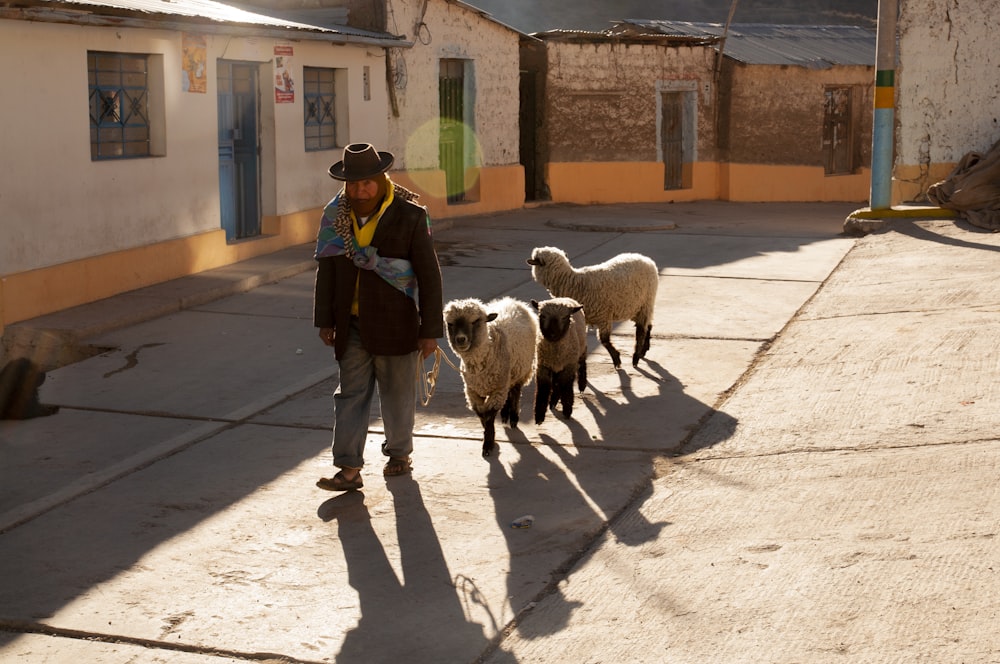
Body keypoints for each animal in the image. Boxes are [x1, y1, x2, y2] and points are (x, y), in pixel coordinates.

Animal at [446, 296, 540, 456]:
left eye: (475, 321)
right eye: (450, 324)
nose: (460, 339)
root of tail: (513, 301)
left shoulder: (497, 389)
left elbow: (489, 416)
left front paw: (488, 445)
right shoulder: (472, 391)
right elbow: (482, 415)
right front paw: (489, 436)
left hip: (521, 369)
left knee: (515, 392)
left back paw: (513, 417)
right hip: (507, 377)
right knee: (509, 393)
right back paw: (505, 415)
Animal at [528, 246, 660, 368]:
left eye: (536, 259)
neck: (573, 282)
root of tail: (646, 259)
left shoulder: (603, 316)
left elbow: (604, 340)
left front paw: (616, 359)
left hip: (646, 302)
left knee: (641, 330)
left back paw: (636, 357)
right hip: (636, 306)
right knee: (648, 325)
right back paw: (644, 350)